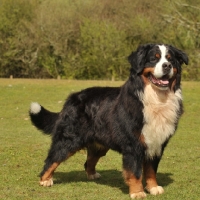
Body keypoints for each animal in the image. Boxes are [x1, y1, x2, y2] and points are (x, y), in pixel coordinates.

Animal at [29, 43, 188, 198]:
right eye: (154, 59)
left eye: (171, 59)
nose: (167, 66)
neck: (156, 99)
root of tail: (72, 98)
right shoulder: (133, 144)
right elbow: (135, 171)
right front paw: (137, 192)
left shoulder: (156, 143)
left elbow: (151, 170)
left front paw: (153, 188)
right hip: (69, 139)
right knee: (52, 159)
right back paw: (45, 180)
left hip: (99, 144)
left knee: (89, 161)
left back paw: (92, 175)